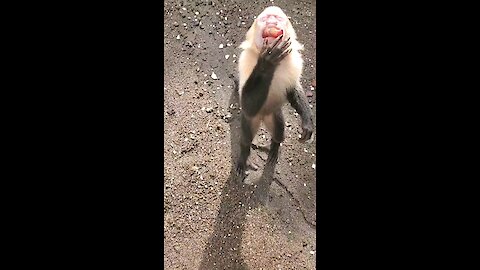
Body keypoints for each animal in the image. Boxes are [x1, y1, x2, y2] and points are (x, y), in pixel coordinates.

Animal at [235, 5, 316, 181]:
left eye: (278, 18)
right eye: (265, 19)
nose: (272, 20)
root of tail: (263, 117)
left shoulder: (294, 61)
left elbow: (293, 89)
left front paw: (307, 122)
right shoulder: (246, 61)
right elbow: (247, 104)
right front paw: (267, 61)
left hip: (274, 113)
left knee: (279, 129)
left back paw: (274, 147)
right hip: (251, 120)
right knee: (246, 136)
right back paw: (244, 156)